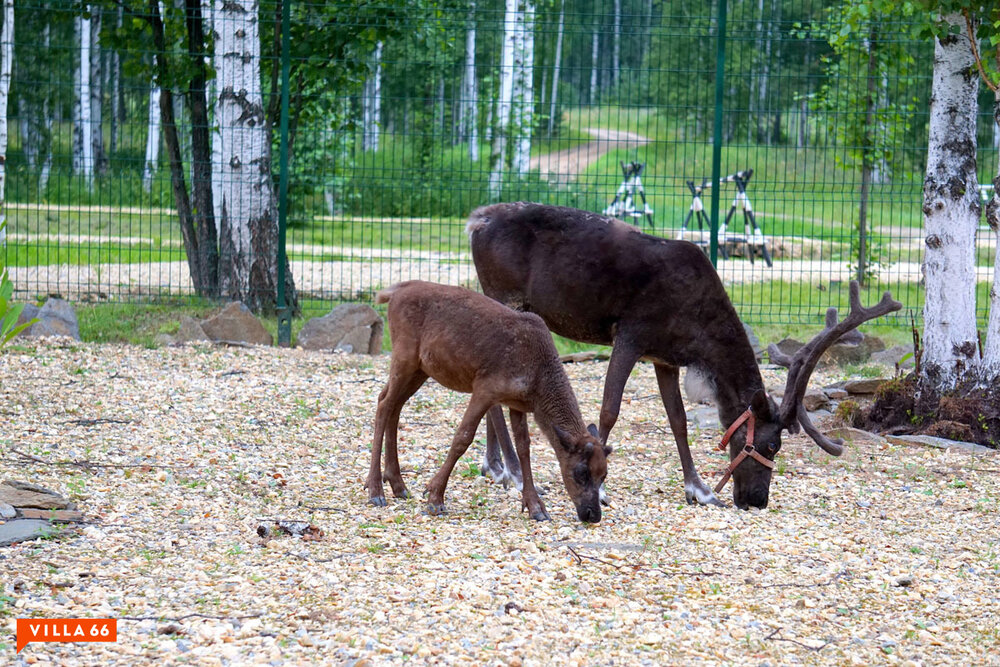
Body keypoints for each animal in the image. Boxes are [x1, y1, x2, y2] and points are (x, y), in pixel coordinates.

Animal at [370, 280, 608, 524]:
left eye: (604, 474)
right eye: (580, 472)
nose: (593, 514)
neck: (538, 387)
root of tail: (394, 292)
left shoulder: (517, 403)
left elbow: (524, 448)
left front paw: (535, 507)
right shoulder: (485, 388)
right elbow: (463, 438)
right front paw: (435, 497)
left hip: (421, 369)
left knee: (392, 403)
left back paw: (397, 485)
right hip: (404, 354)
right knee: (384, 404)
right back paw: (376, 490)